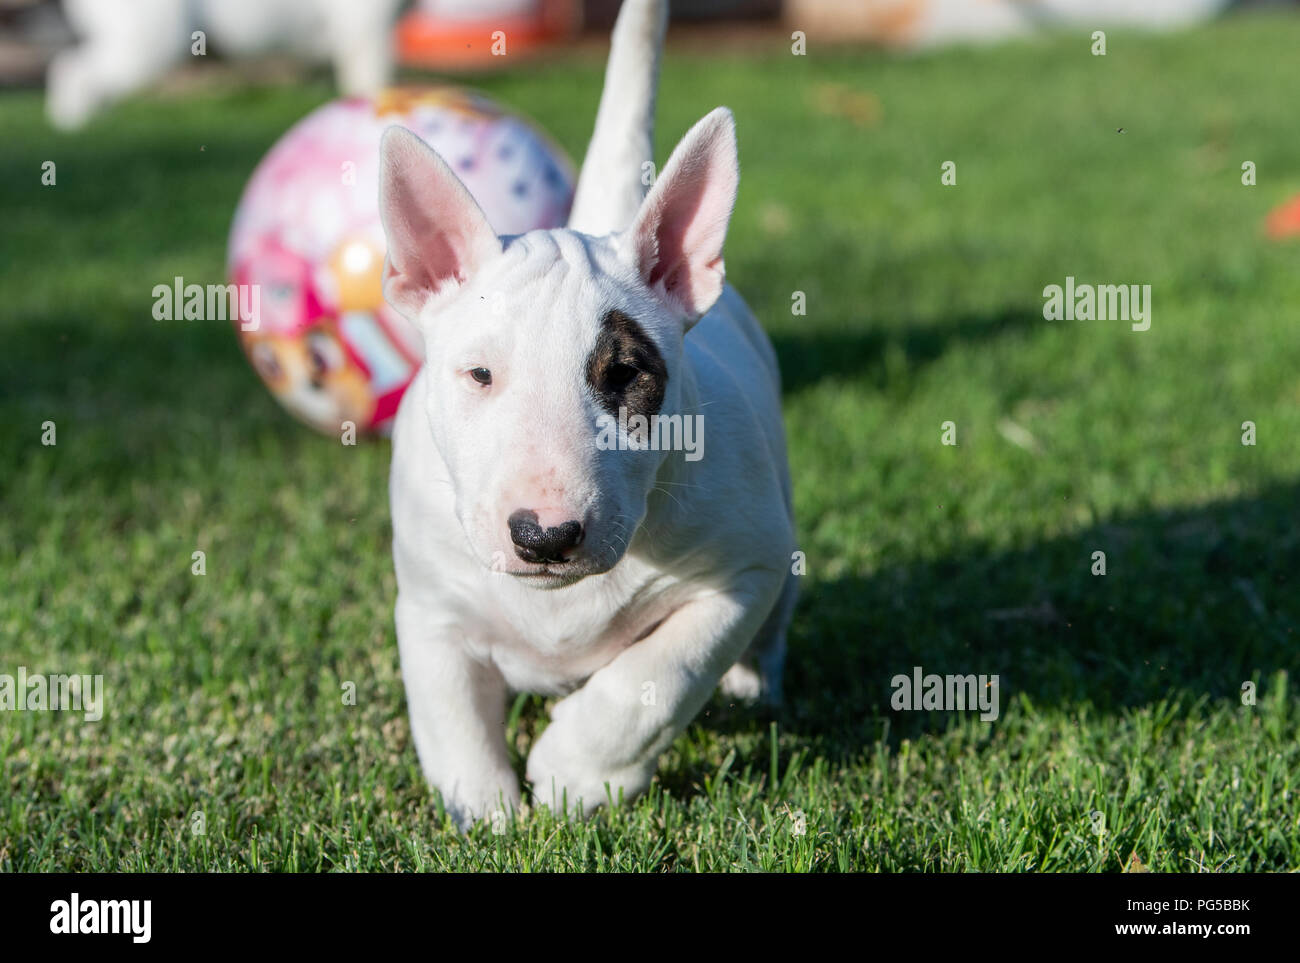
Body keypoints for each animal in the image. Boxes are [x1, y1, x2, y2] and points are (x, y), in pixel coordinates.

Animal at [379, 0, 795, 826]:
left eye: (625, 374)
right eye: (480, 374)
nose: (545, 535)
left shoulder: (745, 568)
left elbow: (658, 674)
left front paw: (576, 770)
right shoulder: (432, 605)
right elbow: (447, 707)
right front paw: (485, 809)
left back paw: (752, 684)